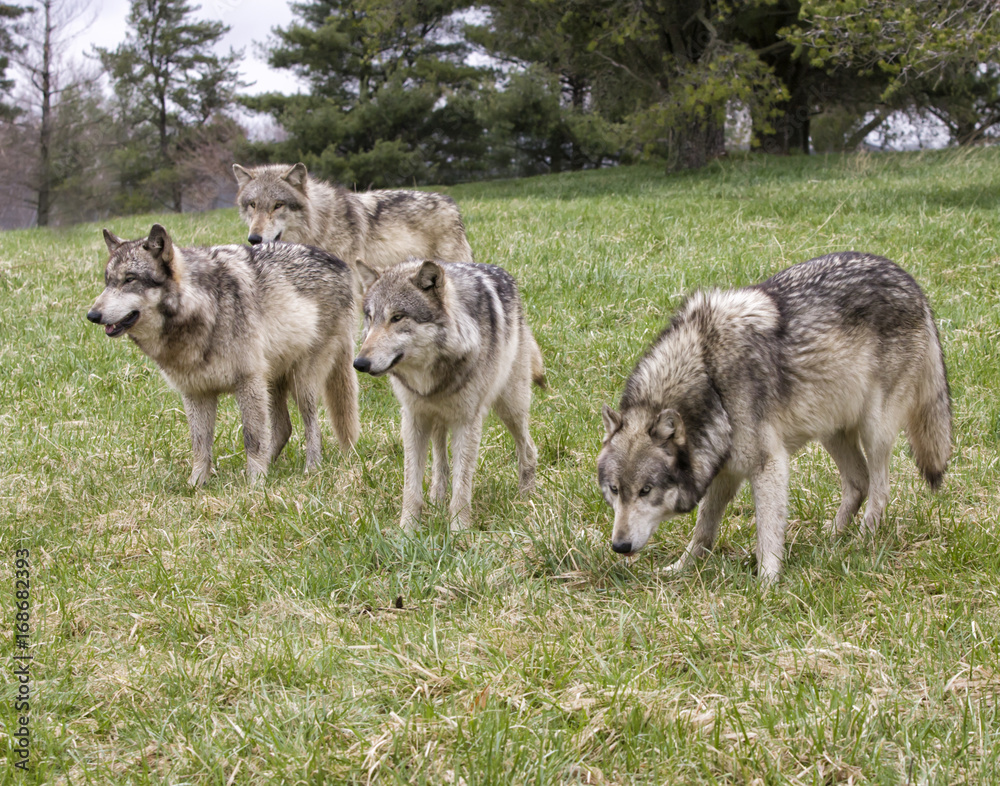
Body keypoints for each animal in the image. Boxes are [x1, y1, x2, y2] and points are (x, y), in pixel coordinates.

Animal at [86, 224, 360, 486]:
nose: (92, 315)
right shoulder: (196, 393)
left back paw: (311, 468)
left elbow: (252, 438)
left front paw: (255, 484)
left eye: (129, 279)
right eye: (108, 282)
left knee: (311, 425)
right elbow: (200, 444)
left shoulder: (247, 382)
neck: (204, 308)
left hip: (301, 382)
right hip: (272, 381)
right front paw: (196, 484)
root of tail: (341, 266)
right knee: (283, 428)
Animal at [352, 258, 545, 531]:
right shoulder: (413, 418)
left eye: (397, 317)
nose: (359, 363)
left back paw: (525, 496)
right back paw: (436, 498)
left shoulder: (467, 421)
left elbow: (462, 485)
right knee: (440, 462)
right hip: (439, 418)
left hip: (510, 407)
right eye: (370, 318)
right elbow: (411, 486)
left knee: (528, 448)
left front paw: (459, 531)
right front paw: (407, 531)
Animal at [598, 252, 952, 583]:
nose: (619, 546)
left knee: (879, 490)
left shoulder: (768, 465)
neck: (710, 378)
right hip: (830, 429)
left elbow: (766, 532)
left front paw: (766, 583)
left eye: (646, 490)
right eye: (615, 490)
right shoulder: (725, 471)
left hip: (874, 431)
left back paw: (860, 542)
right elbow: (703, 530)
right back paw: (832, 539)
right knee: (858, 483)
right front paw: (681, 568)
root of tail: (911, 282)